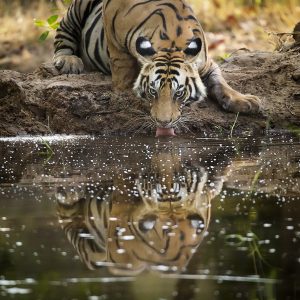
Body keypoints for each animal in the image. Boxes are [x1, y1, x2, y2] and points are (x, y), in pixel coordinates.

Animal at [52, 0, 262, 131]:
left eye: (179, 93)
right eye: (152, 91)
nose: (163, 123)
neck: (172, 41)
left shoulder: (205, 63)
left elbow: (220, 81)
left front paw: (244, 100)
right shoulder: (112, 24)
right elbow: (122, 69)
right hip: (77, 11)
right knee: (63, 33)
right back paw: (68, 61)